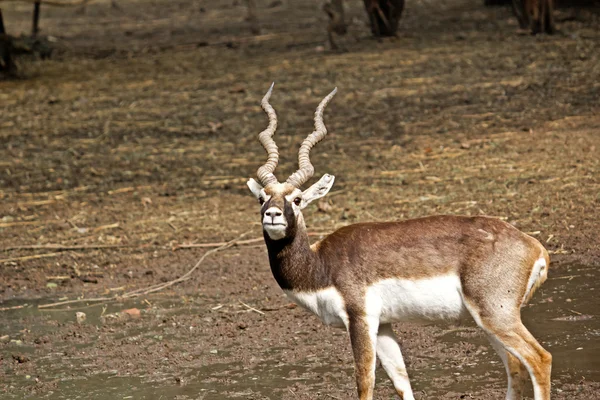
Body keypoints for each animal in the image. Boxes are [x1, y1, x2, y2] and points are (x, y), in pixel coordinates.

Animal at [246, 84, 552, 400]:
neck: (321, 266)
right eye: (261, 197)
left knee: (539, 359)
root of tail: (534, 246)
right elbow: (401, 379)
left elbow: (365, 381)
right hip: (487, 321)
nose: (272, 214)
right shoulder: (384, 325)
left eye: (297, 199)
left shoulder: (361, 318)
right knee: (515, 366)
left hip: (495, 314)